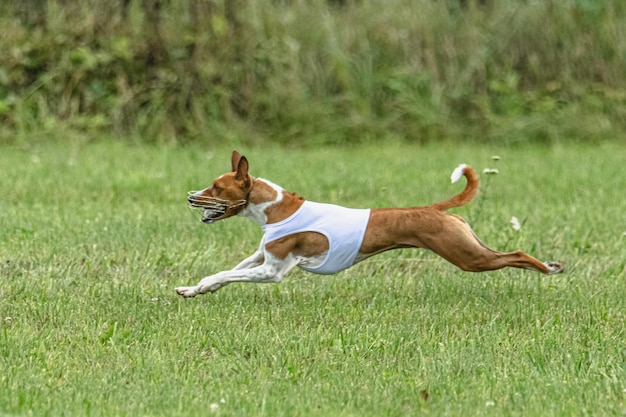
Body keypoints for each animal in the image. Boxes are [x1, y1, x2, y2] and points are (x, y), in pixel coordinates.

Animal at [174, 150, 560, 296]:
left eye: (216, 187)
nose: (192, 197)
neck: (277, 209)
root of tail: (433, 207)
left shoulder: (273, 271)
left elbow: (224, 274)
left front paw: (202, 286)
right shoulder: (260, 258)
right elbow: (224, 272)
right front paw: (194, 289)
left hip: (468, 257)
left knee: (517, 254)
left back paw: (548, 268)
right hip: (469, 247)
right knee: (507, 254)